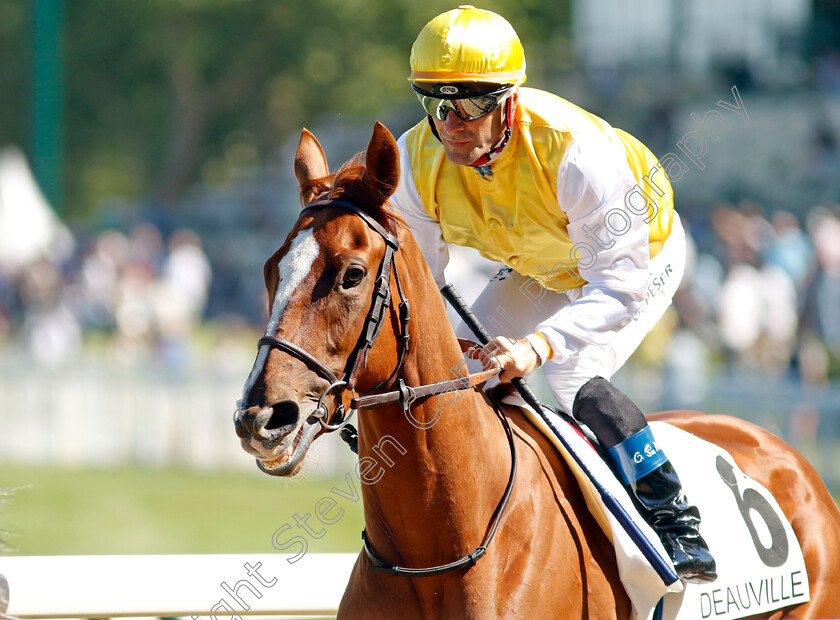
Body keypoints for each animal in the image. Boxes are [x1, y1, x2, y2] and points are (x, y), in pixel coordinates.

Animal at [233, 123, 840, 616]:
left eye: (352, 274)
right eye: (270, 269)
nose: (262, 417)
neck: (440, 552)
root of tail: (780, 449)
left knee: (590, 380)